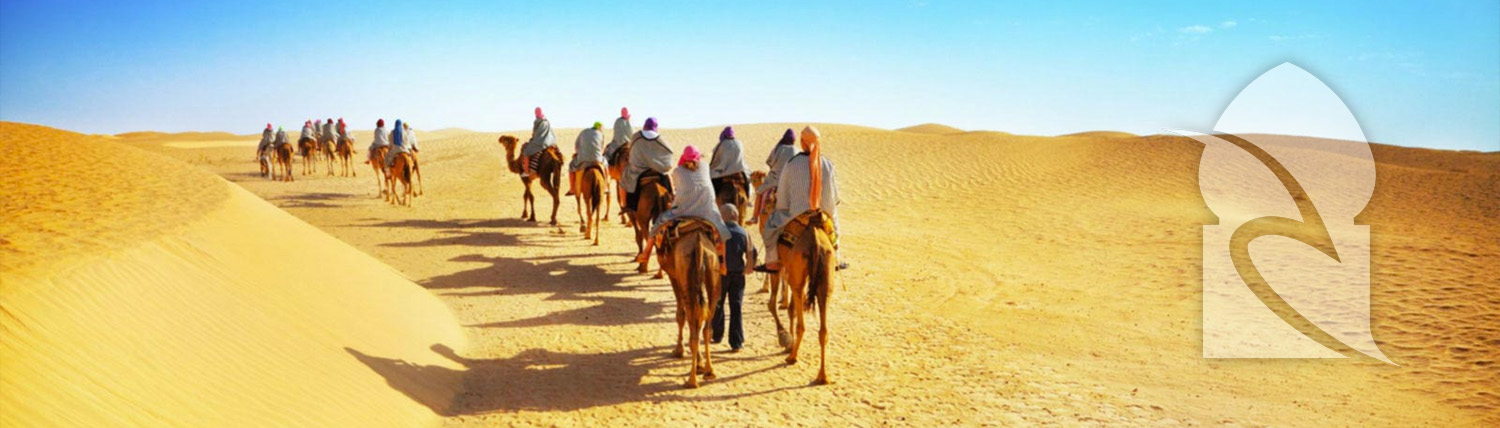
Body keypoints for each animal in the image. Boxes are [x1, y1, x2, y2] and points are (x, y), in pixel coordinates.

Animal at [660, 217, 723, 387]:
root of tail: (699, 244)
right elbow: (697, 321)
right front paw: (700, 365)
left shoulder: (673, 276)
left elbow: (680, 316)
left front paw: (679, 350)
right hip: (712, 276)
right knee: (707, 328)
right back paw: (710, 371)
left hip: (686, 278)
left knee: (693, 326)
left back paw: (692, 380)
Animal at [768, 210, 840, 382]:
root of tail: (816, 240)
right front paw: (788, 341)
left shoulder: (778, 266)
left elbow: (773, 304)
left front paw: (785, 338)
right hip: (826, 278)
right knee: (823, 329)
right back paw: (823, 376)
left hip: (797, 277)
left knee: (801, 321)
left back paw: (792, 357)